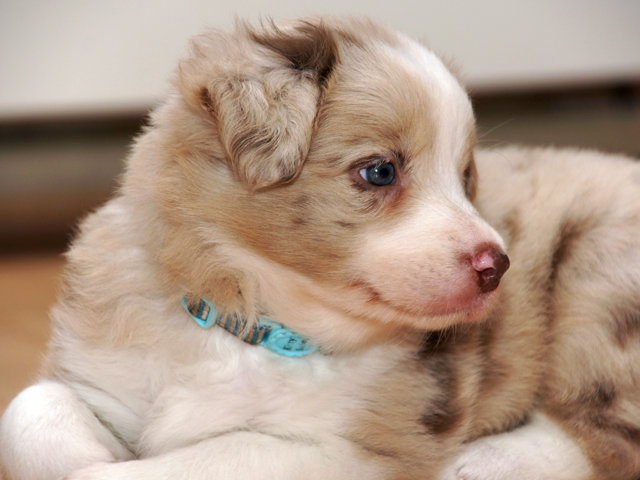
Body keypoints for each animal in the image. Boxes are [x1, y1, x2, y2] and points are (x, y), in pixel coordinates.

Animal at [1, 16, 640, 480]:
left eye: (463, 178)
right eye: (380, 171)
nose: (497, 266)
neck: (255, 323)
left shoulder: (343, 447)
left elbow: (212, 454)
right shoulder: (98, 373)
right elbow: (30, 412)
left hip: (600, 279)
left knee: (606, 431)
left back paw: (486, 462)